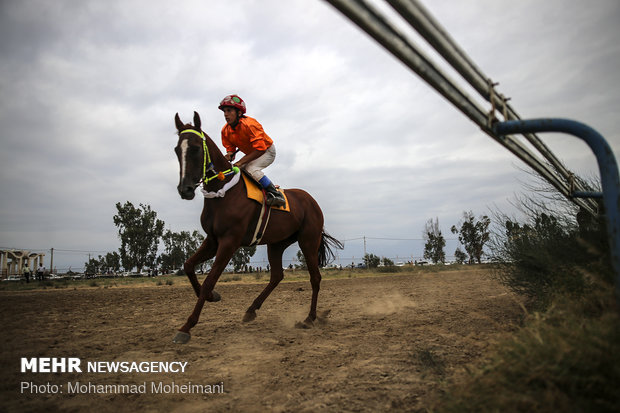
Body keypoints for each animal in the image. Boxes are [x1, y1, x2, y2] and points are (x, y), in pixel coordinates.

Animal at [172, 111, 342, 342]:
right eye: (176, 150)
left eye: (196, 148)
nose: (185, 190)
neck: (223, 193)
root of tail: (311, 201)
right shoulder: (213, 240)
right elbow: (189, 265)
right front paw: (211, 297)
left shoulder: (229, 241)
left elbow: (210, 279)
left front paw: (186, 327)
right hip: (277, 243)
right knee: (277, 275)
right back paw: (251, 310)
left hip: (308, 240)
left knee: (315, 277)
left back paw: (309, 318)